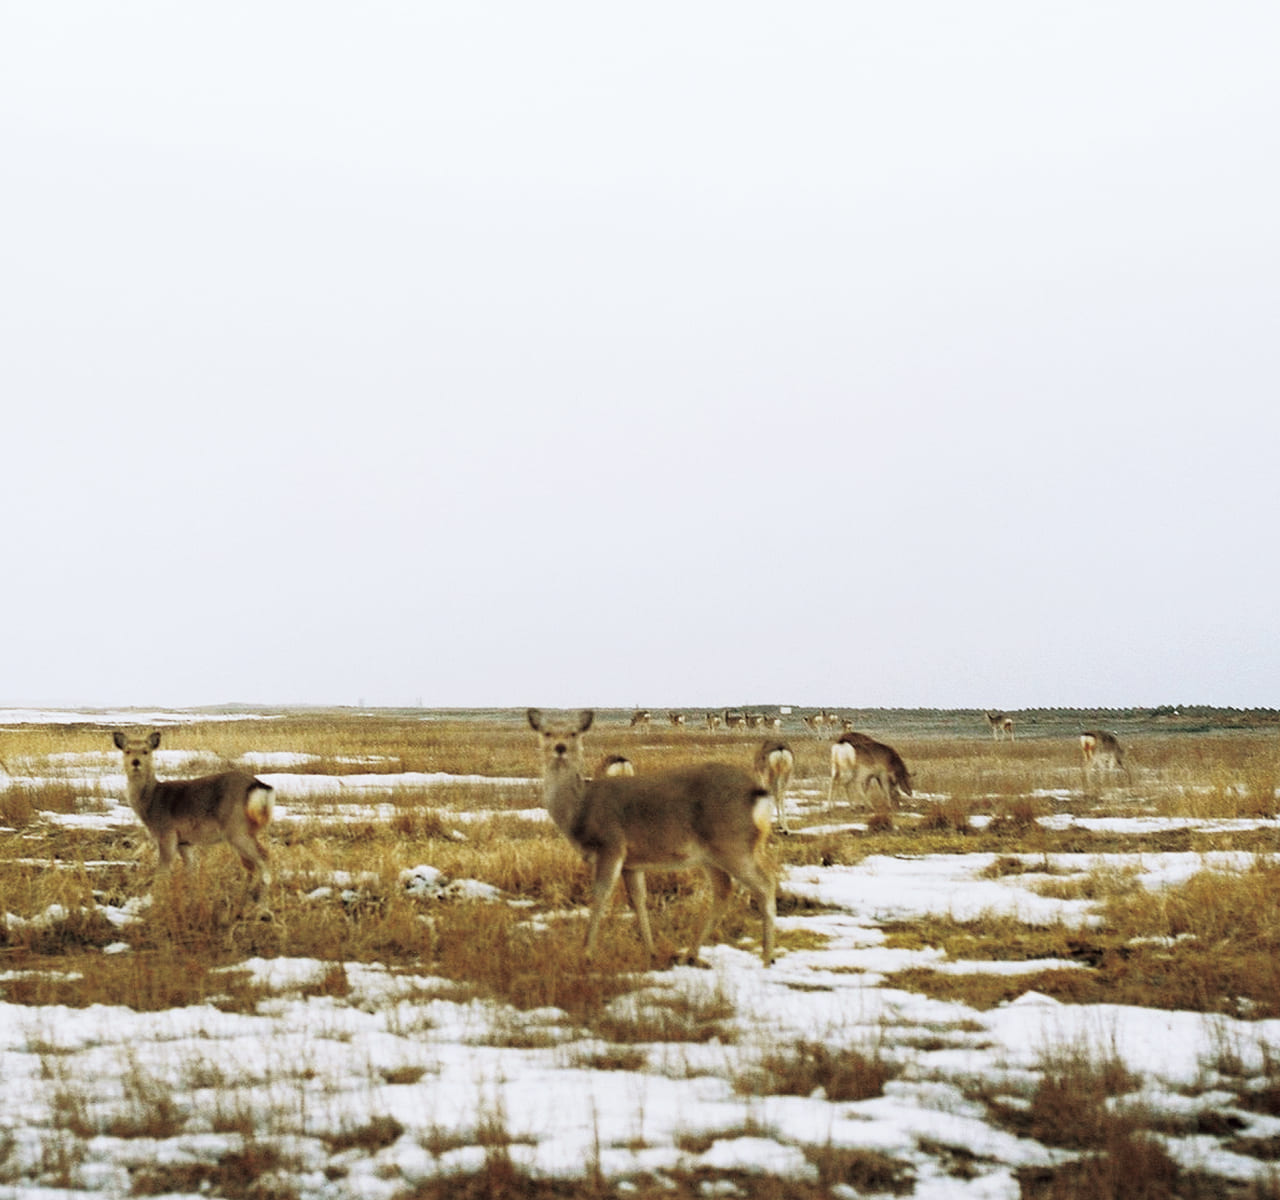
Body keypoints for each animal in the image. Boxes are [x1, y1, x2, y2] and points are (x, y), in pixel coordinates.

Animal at [114, 726, 275, 895]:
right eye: (127, 751)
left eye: (145, 751)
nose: (135, 762)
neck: (150, 804)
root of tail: (260, 787)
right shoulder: (184, 842)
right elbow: (191, 869)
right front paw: (190, 891)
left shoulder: (166, 833)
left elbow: (162, 871)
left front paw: (155, 893)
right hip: (245, 830)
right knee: (251, 864)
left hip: (237, 828)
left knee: (264, 857)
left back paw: (262, 897)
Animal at [524, 706, 773, 967]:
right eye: (547, 732)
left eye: (574, 733)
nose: (560, 747)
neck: (579, 810)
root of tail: (758, 793)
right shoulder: (632, 862)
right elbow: (638, 899)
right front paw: (651, 951)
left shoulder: (611, 844)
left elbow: (600, 895)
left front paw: (586, 953)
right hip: (713, 855)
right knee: (724, 891)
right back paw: (690, 954)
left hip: (732, 843)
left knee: (765, 885)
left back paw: (767, 957)